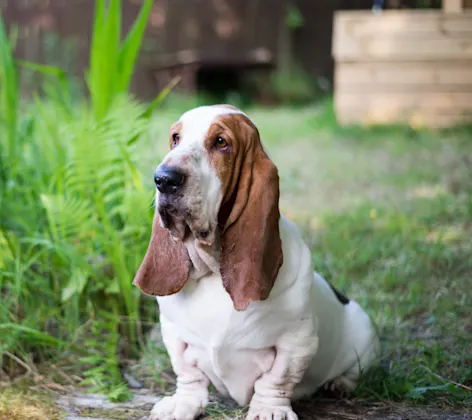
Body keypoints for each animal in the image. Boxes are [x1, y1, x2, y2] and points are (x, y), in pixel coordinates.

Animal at [133, 103, 380, 418]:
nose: (164, 178)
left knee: (353, 370)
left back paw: (339, 384)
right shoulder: (173, 332)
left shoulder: (297, 341)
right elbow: (187, 373)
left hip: (365, 334)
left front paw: (268, 411)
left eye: (221, 142)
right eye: (176, 138)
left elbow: (277, 379)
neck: (213, 271)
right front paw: (182, 404)